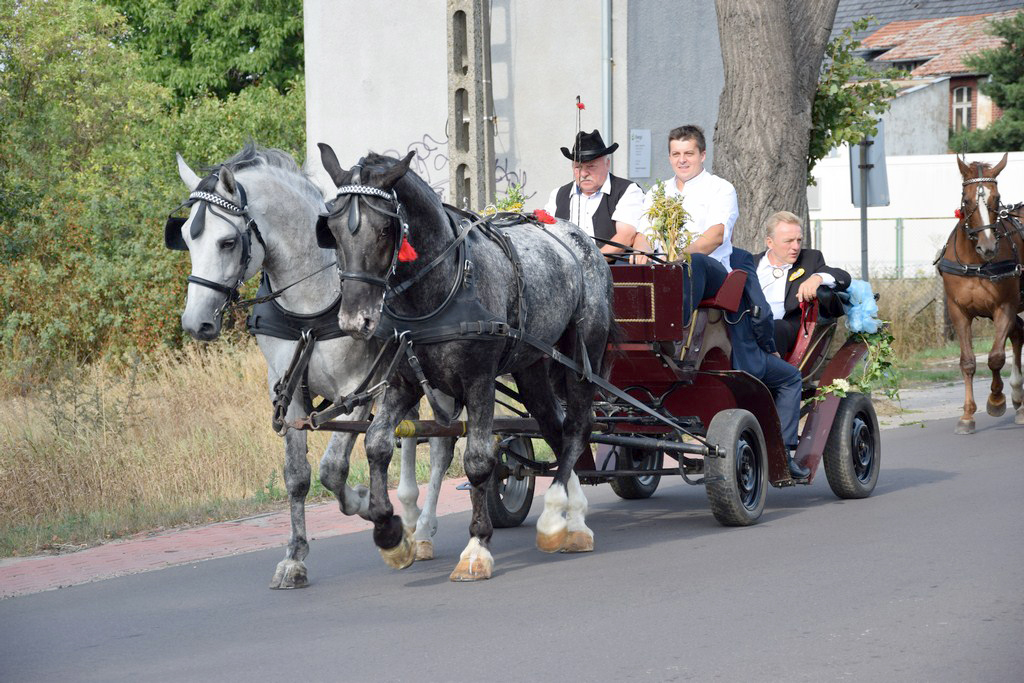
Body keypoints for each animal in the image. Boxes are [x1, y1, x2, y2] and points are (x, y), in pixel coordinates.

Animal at [167, 144, 456, 589]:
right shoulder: (286, 391)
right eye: (184, 238)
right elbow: (298, 475)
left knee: (442, 444)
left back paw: (421, 529)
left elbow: (333, 470)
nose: (194, 323)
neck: (314, 304)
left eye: (228, 241)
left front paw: (368, 506)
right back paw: (408, 512)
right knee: (409, 435)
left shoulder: (359, 388)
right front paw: (295, 557)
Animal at [315, 145, 610, 581]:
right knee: (553, 427)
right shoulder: (403, 383)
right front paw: (390, 532)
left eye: (385, 230)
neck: (440, 288)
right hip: (531, 366)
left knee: (576, 428)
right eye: (332, 230)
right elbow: (377, 443)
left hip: (581, 358)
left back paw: (556, 516)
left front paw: (476, 547)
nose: (355, 321)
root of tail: (581, 240)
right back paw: (571, 522)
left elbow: (478, 461)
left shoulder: (478, 381)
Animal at [937, 153, 1024, 432]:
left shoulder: (1005, 307)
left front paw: (996, 400)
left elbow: (995, 357)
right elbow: (968, 361)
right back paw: (1018, 399)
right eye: (967, 200)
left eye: (997, 198)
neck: (976, 262)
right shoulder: (958, 311)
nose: (988, 246)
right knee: (1019, 335)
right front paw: (967, 416)